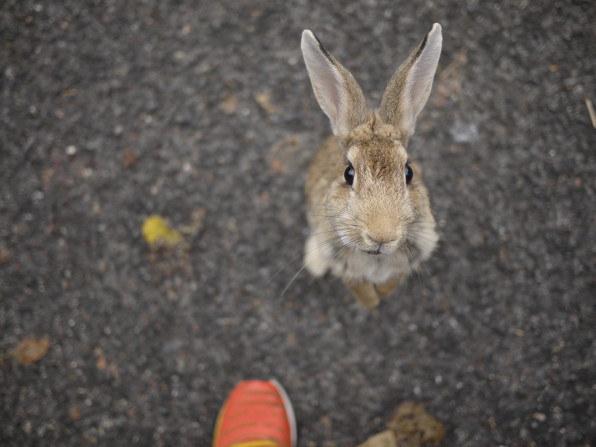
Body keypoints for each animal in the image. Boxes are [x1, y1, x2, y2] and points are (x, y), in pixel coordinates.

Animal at [302, 21, 442, 308]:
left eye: (408, 173)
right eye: (349, 173)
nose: (381, 236)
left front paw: (381, 296)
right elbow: (356, 284)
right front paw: (370, 302)